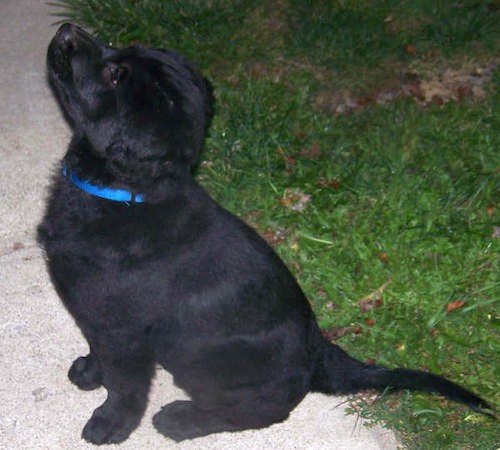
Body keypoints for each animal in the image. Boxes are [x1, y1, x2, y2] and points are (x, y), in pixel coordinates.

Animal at [39, 24, 492, 446]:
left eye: (115, 74)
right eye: (118, 50)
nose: (66, 30)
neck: (124, 194)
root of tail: (320, 355)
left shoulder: (126, 333)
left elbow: (126, 384)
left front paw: (110, 424)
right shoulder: (99, 318)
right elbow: (99, 351)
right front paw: (89, 372)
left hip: (205, 359)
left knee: (259, 411)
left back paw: (182, 419)